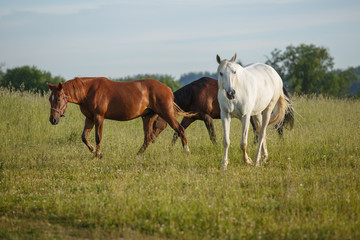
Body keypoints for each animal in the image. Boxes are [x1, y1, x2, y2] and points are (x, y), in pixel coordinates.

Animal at [47, 77, 191, 158]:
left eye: (58, 99)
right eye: (50, 99)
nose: (53, 120)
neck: (88, 91)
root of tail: (168, 89)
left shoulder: (99, 117)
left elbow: (98, 137)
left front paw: (98, 154)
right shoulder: (90, 118)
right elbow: (84, 137)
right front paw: (93, 150)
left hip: (166, 114)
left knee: (180, 129)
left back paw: (186, 151)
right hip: (148, 117)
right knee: (148, 138)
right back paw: (138, 155)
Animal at [153, 77, 294, 144]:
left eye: (154, 124)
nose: (151, 138)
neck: (193, 94)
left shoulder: (207, 117)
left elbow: (212, 136)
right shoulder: (189, 118)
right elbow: (177, 133)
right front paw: (171, 149)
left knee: (277, 126)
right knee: (258, 129)